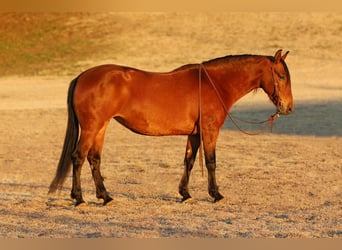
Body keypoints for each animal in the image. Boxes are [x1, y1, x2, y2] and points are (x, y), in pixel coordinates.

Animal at [48, 49, 294, 207]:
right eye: (281, 76)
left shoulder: (194, 134)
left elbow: (190, 161)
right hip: (91, 128)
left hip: (101, 127)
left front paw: (185, 194)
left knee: (94, 159)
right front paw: (216, 194)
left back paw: (105, 197)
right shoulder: (209, 131)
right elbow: (211, 162)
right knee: (78, 157)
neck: (214, 83)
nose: (288, 107)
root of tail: (82, 76)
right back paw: (79, 198)